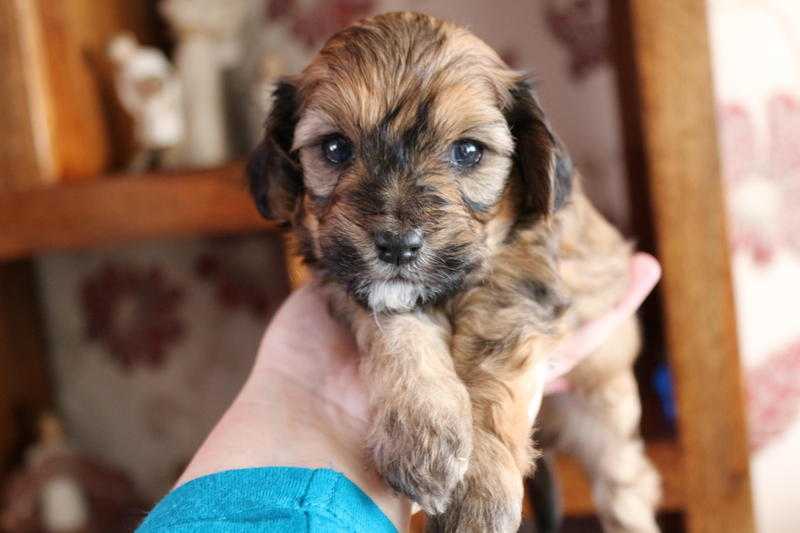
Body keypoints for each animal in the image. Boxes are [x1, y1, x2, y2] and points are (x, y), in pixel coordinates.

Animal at [252, 12, 664, 532]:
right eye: (335, 148)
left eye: (468, 152)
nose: (397, 246)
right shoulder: (348, 279)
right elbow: (397, 330)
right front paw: (420, 431)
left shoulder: (522, 273)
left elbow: (489, 360)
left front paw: (478, 489)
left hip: (606, 407)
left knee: (624, 484)